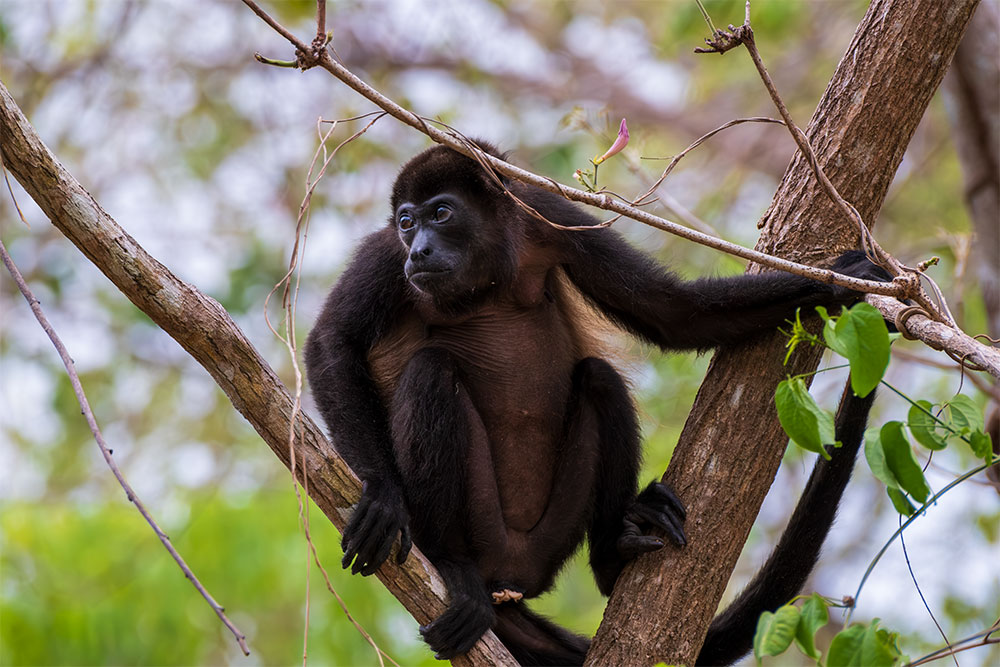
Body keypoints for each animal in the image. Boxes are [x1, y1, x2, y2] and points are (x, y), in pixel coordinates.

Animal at [304, 142, 892, 667]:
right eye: (406, 221)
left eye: (441, 214)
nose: (420, 249)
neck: (486, 273)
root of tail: (507, 580)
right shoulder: (386, 255)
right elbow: (332, 343)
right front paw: (382, 494)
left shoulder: (552, 219)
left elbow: (674, 313)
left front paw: (845, 283)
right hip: (481, 527)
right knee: (431, 371)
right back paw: (452, 565)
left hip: (551, 540)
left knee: (599, 378)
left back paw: (611, 556)